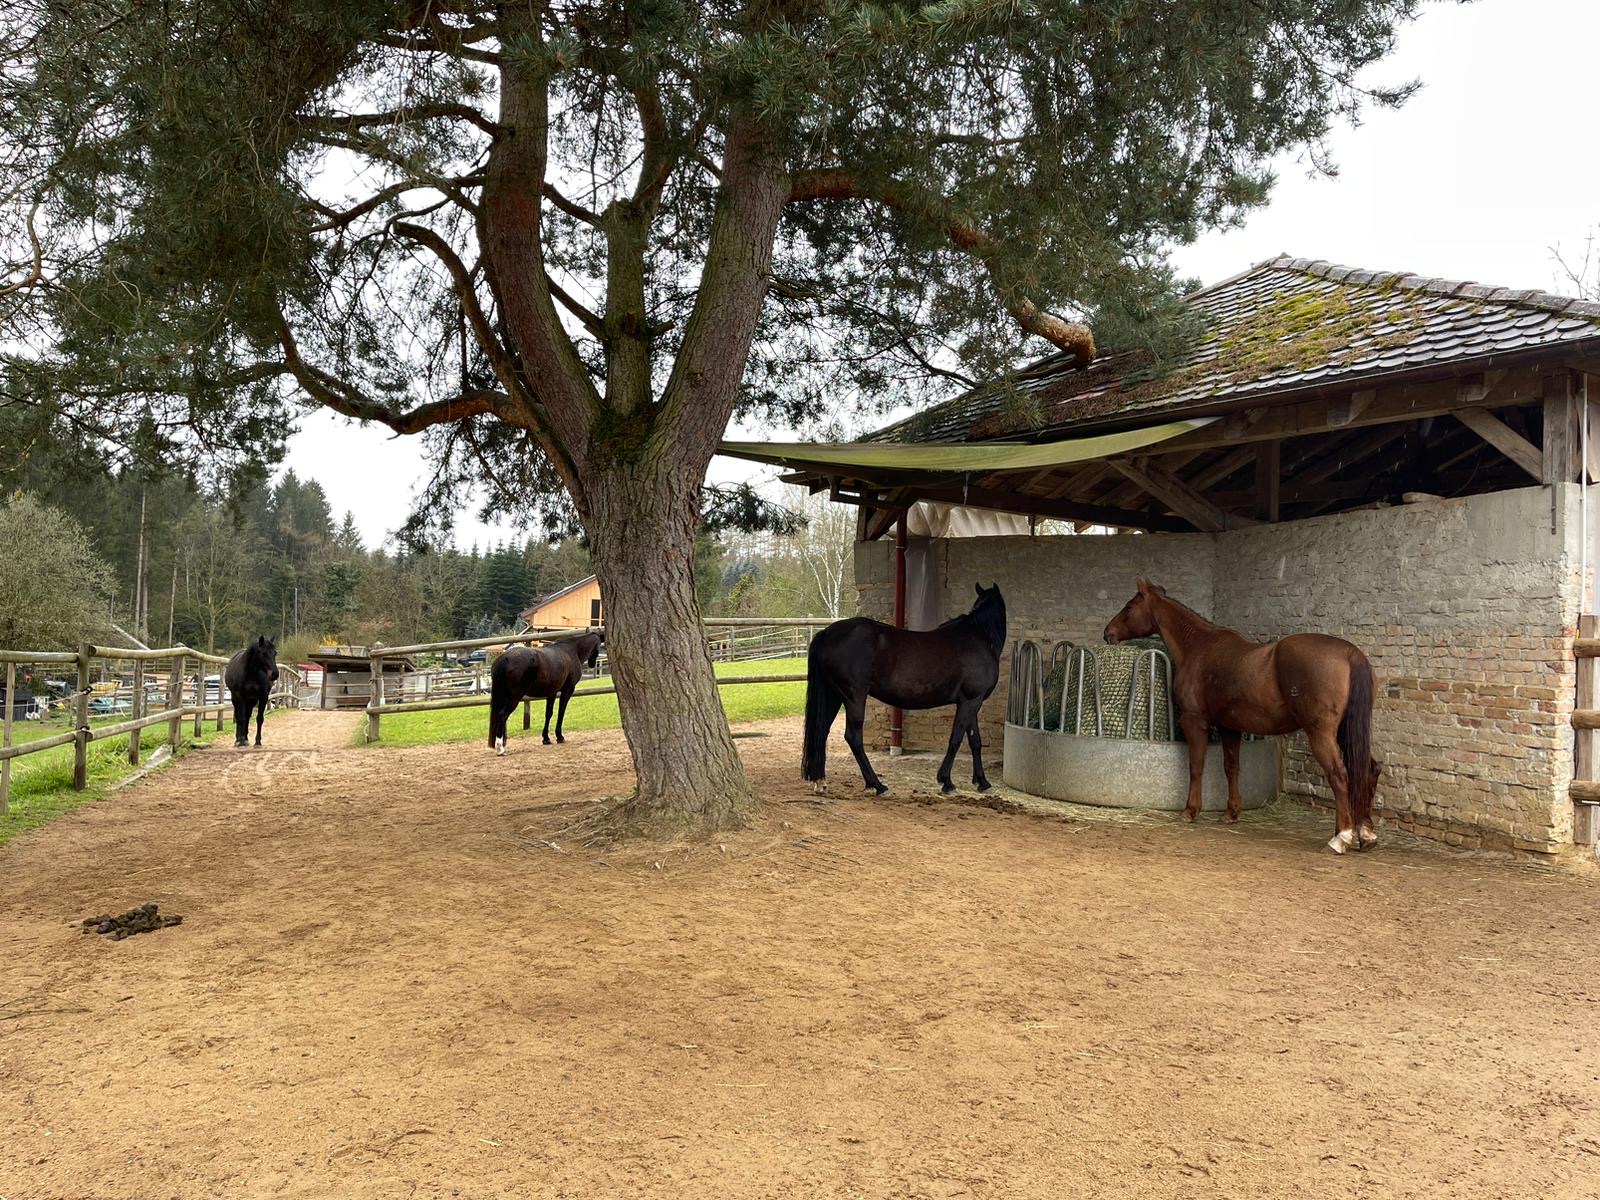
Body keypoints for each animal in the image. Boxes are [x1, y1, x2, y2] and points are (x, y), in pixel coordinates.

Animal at [803, 583, 1006, 795]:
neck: (980, 637)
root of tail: (827, 633)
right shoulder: (971, 700)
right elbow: (956, 739)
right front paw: (947, 781)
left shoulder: (971, 702)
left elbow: (975, 741)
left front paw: (982, 781)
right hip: (854, 698)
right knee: (853, 737)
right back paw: (877, 785)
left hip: (833, 696)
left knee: (822, 732)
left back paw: (820, 782)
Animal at [1103, 578, 1380, 854]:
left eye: (1129, 607)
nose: (1108, 633)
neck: (1199, 648)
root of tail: (1350, 653)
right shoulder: (1230, 726)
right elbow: (1232, 766)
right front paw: (1231, 813)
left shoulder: (1195, 721)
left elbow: (1196, 765)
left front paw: (1190, 811)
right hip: (1345, 732)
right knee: (1369, 770)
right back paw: (1365, 834)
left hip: (1321, 734)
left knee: (1339, 775)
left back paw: (1341, 837)